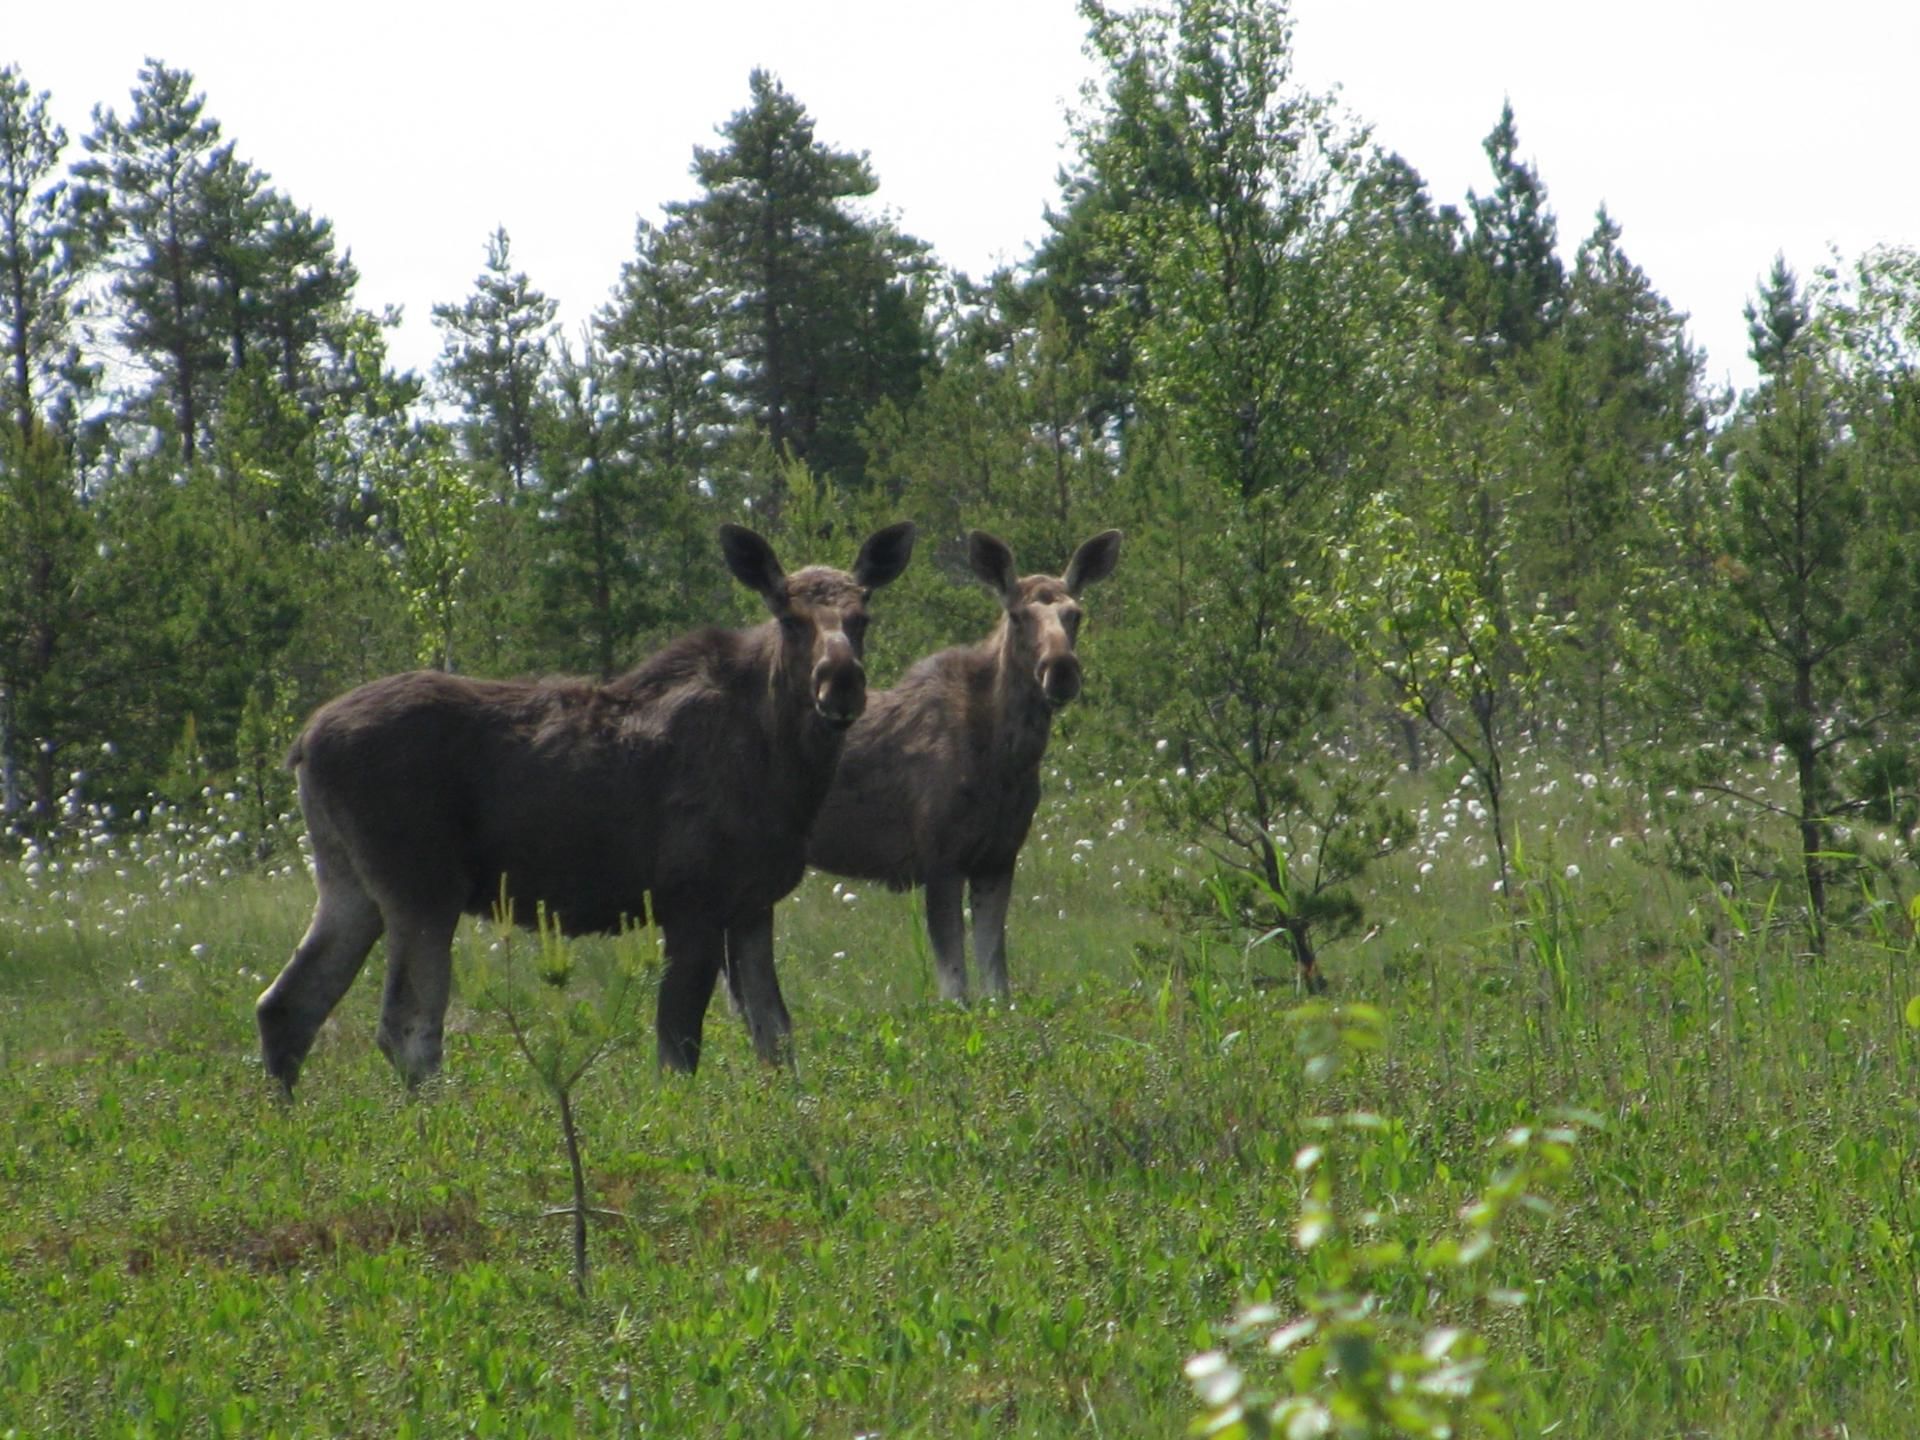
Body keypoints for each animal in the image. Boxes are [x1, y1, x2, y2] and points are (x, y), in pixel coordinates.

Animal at [257, 522, 913, 1090]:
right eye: (788, 617)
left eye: (862, 616)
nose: (841, 682)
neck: (788, 773)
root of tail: (304, 743)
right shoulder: (691, 901)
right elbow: (678, 1048)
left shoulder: (751, 904)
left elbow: (775, 1036)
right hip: (421, 887)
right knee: (407, 1029)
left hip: (349, 883)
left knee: (286, 1005)